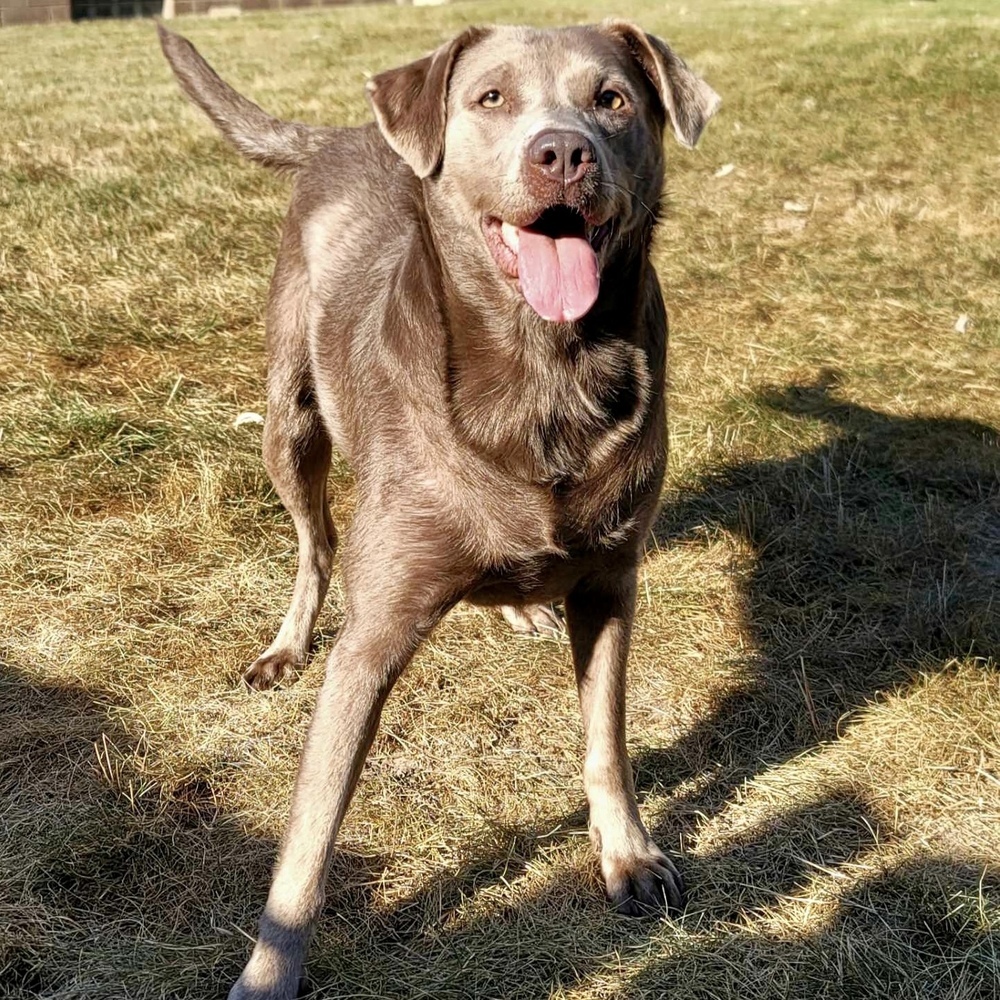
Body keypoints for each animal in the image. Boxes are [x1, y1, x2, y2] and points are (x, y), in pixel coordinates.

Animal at [156, 23, 720, 1000]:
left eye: (613, 99)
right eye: (491, 98)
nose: (563, 152)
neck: (542, 377)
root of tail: (346, 133)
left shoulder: (611, 584)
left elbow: (606, 740)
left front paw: (628, 856)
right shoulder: (372, 641)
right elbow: (306, 845)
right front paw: (268, 974)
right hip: (288, 416)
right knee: (315, 541)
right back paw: (286, 643)